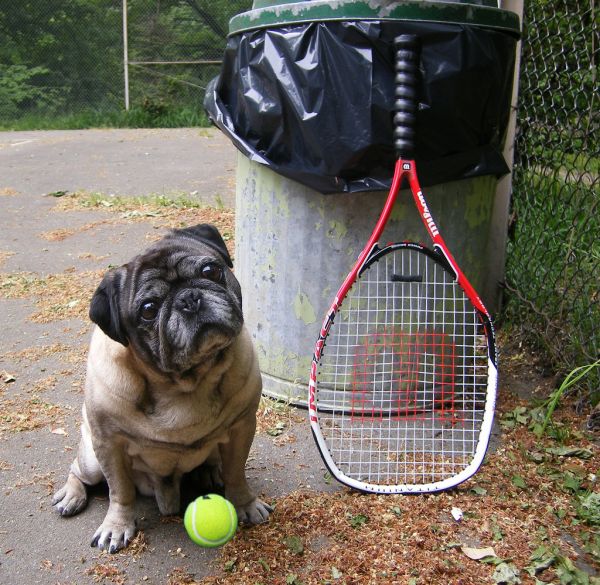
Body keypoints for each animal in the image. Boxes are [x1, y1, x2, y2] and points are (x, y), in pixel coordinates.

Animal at [51, 221, 272, 548]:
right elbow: (120, 491)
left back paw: (211, 472)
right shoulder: (109, 444)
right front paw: (117, 525)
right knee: (78, 472)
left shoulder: (242, 427)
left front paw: (245, 503)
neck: (185, 381)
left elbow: (236, 474)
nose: (188, 299)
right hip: (91, 459)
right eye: (148, 309)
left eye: (210, 271)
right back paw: (71, 495)